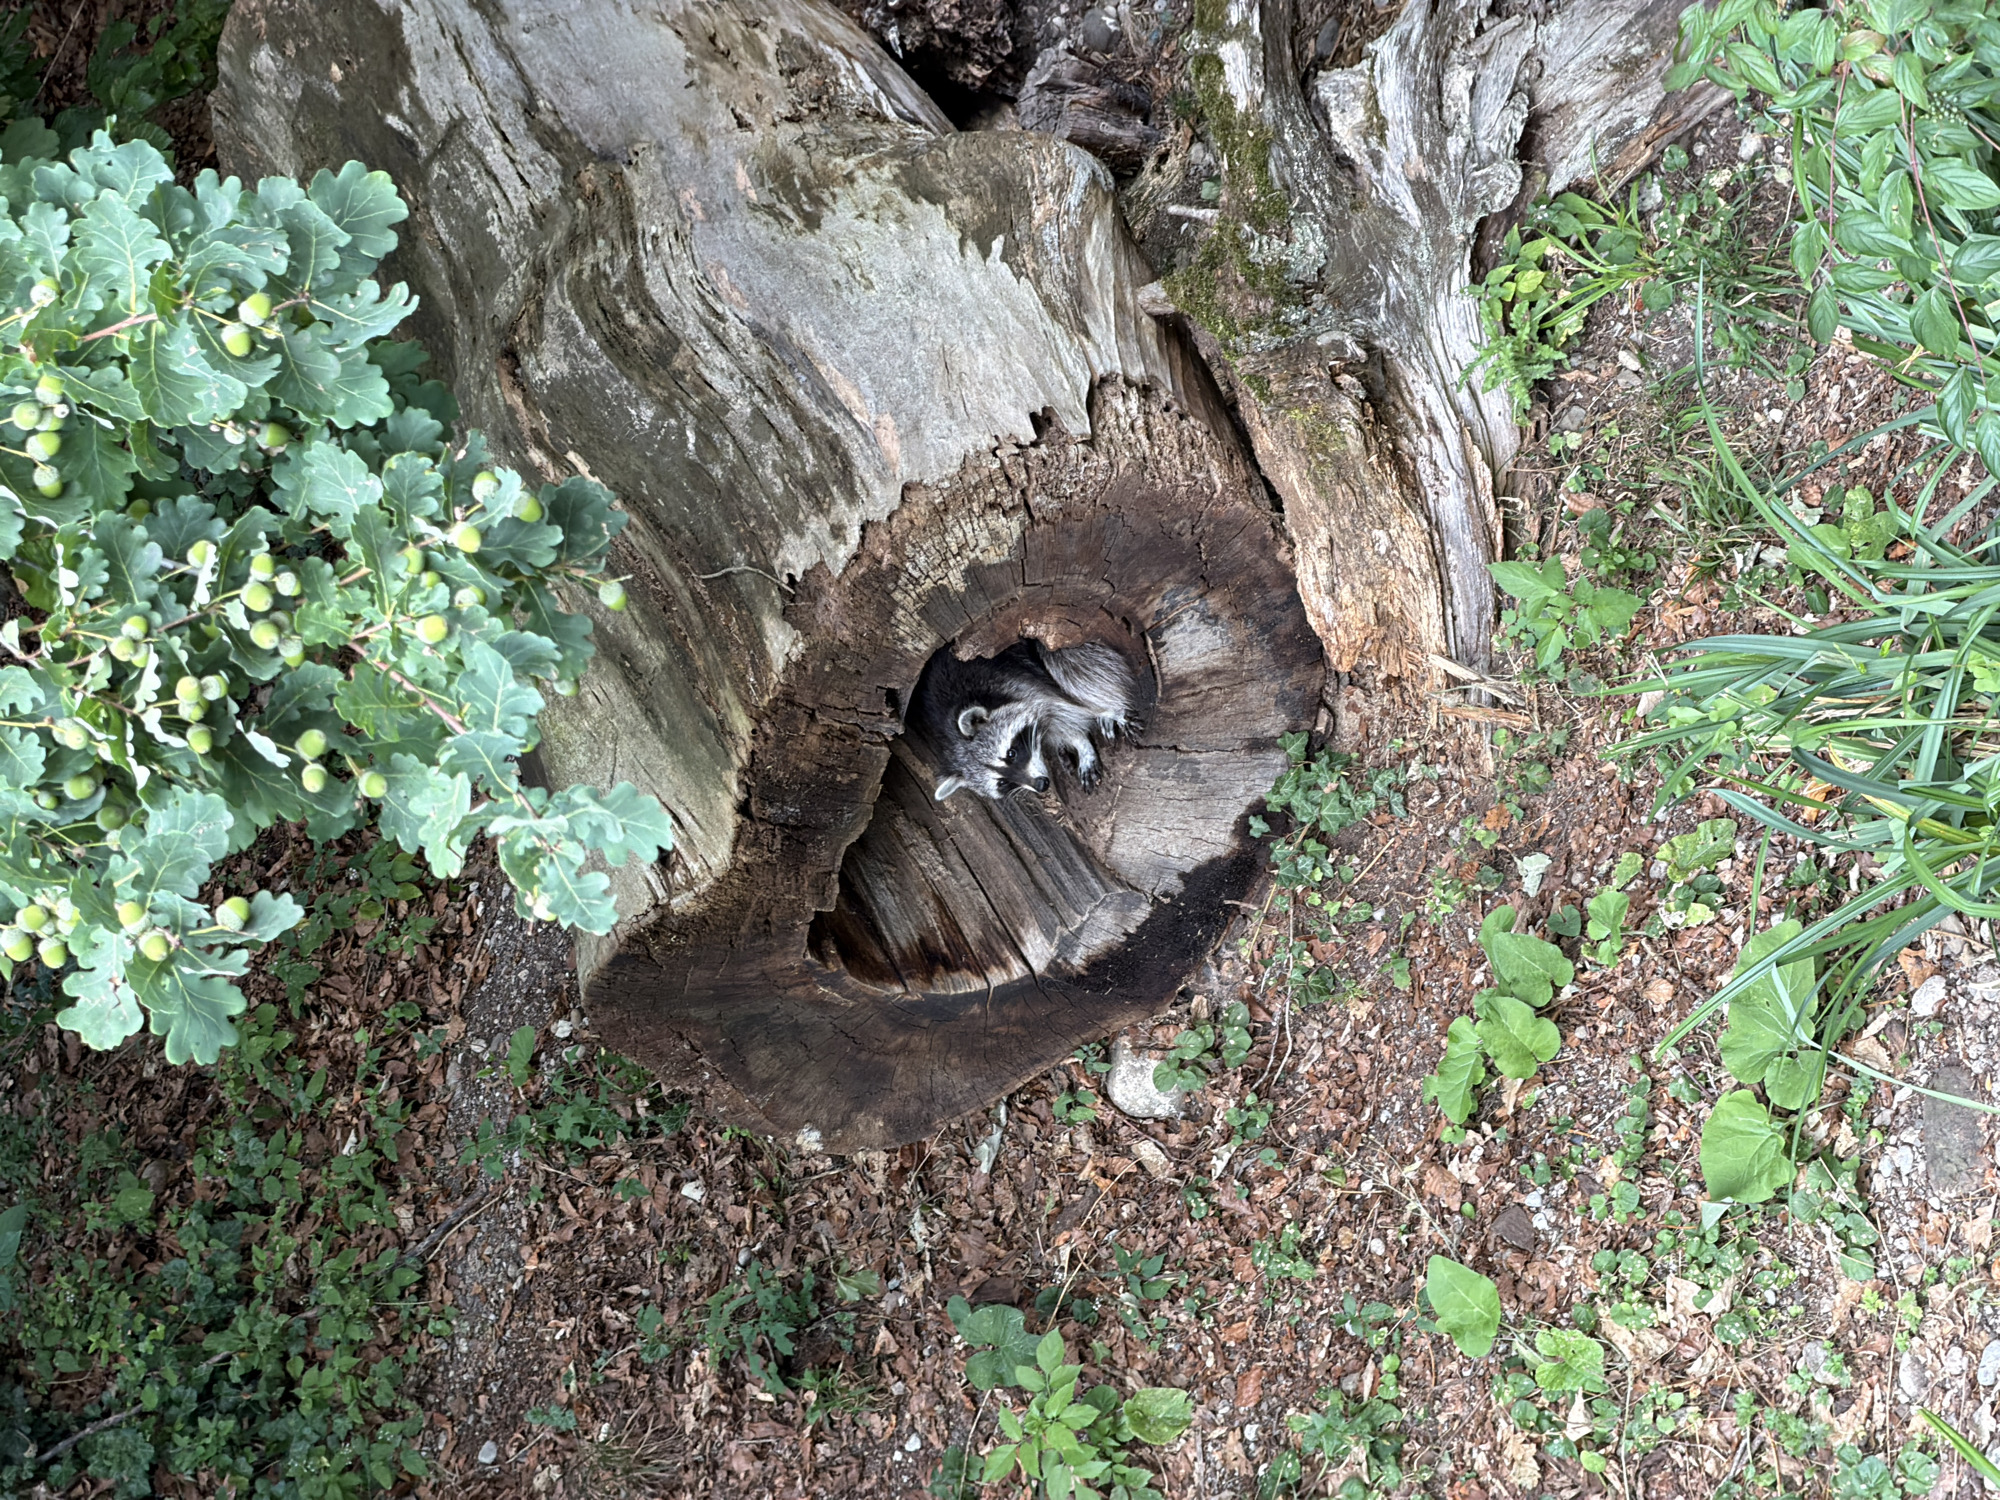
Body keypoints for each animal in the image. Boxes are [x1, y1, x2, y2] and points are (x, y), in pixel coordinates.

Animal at [910, 639, 1138, 802]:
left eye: (1011, 754)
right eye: (1002, 783)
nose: (1041, 785)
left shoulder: (1018, 682)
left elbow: (1063, 711)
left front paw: (1106, 714)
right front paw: (1079, 742)